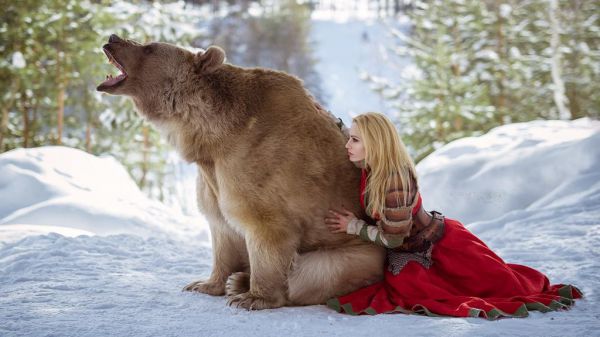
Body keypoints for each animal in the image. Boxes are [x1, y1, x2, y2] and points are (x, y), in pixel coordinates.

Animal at [95, 33, 382, 308]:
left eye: (150, 47)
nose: (113, 38)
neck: (213, 136)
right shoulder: (212, 176)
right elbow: (222, 229)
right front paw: (205, 284)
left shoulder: (257, 163)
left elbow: (265, 227)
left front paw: (253, 297)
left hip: (356, 255)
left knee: (312, 273)